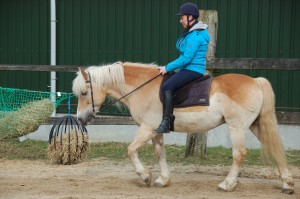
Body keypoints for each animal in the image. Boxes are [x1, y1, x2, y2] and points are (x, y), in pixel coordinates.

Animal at [72, 61, 292, 193]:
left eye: (84, 93)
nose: (80, 119)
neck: (143, 88)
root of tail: (256, 81)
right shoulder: (156, 131)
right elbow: (160, 154)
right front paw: (163, 180)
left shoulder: (147, 128)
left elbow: (131, 150)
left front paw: (145, 176)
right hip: (256, 125)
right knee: (274, 149)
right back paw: (287, 183)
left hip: (236, 127)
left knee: (239, 154)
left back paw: (227, 184)